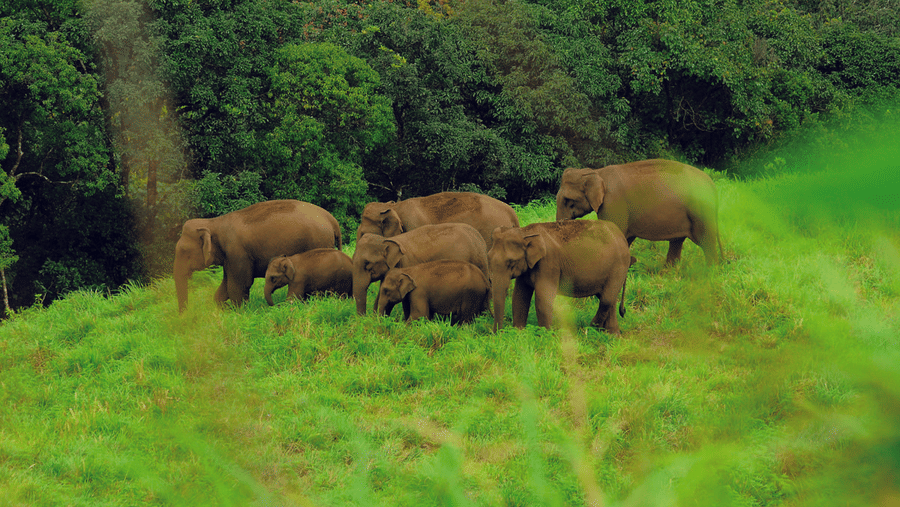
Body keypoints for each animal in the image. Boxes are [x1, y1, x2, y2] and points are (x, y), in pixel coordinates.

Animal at [174, 200, 341, 312]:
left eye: (184, 251)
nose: (185, 317)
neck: (213, 223)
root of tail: (332, 219)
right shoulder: (230, 257)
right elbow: (225, 286)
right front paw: (225, 309)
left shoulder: (237, 253)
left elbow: (238, 286)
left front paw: (238, 313)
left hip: (318, 241)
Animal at [489, 219, 631, 333]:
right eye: (488, 256)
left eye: (511, 262)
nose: (498, 333)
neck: (525, 232)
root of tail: (622, 236)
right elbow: (519, 296)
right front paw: (519, 333)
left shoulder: (549, 263)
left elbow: (543, 298)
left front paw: (545, 335)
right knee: (609, 299)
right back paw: (612, 335)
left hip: (619, 266)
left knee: (607, 299)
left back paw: (590, 329)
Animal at [555, 159, 722, 265]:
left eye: (567, 200)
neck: (597, 172)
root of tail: (712, 184)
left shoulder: (613, 203)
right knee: (677, 241)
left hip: (701, 211)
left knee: (706, 241)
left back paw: (710, 273)